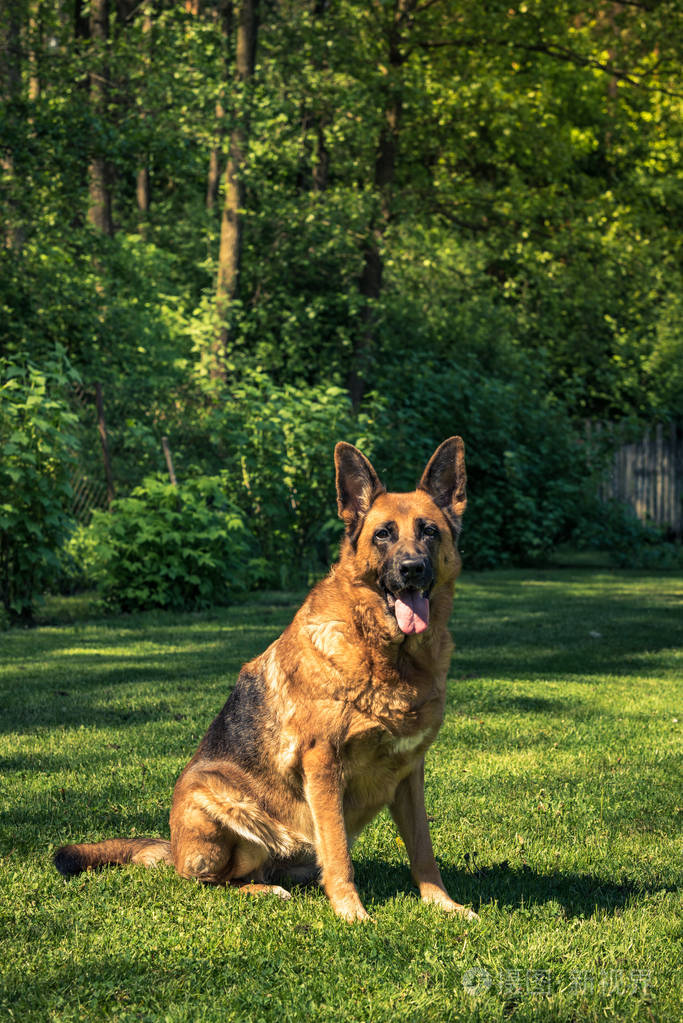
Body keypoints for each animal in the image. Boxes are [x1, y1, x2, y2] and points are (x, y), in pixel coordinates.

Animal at [55, 435, 474, 924]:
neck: (387, 655)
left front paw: (443, 905)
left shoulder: (410, 772)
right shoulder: (322, 763)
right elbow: (339, 853)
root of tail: (174, 850)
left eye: (429, 532)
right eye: (383, 534)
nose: (411, 569)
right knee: (211, 881)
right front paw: (352, 913)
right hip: (216, 800)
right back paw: (263, 890)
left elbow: (423, 850)